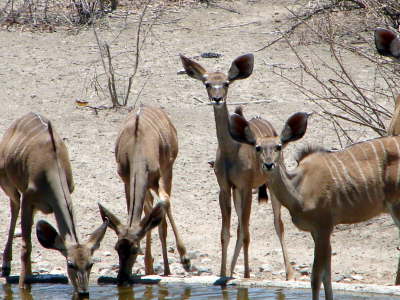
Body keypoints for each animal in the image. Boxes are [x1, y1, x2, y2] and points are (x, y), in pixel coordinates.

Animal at [0, 113, 108, 296]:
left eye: (90, 264)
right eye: (70, 264)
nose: (83, 292)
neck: (51, 167)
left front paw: (28, 279)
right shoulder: (27, 197)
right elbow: (25, 247)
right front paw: (23, 287)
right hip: (9, 186)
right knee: (14, 208)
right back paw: (6, 265)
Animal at [97, 105, 190, 284]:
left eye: (135, 249)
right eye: (117, 248)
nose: (122, 278)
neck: (137, 149)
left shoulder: (155, 178)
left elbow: (165, 202)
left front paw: (185, 259)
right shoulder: (126, 179)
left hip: (168, 168)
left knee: (161, 207)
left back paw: (167, 268)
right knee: (148, 208)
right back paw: (150, 267)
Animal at [180, 53, 294, 278]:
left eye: (226, 83)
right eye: (207, 83)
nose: (217, 99)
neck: (231, 151)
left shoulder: (245, 186)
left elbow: (247, 231)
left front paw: (247, 275)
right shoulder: (226, 188)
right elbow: (226, 232)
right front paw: (224, 274)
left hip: (271, 184)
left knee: (278, 224)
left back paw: (289, 274)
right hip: (238, 193)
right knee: (242, 226)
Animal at [230, 110, 400, 300]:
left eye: (279, 146)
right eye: (257, 147)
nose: (268, 164)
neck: (299, 188)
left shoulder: (323, 226)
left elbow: (316, 277)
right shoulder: (316, 231)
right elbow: (327, 275)